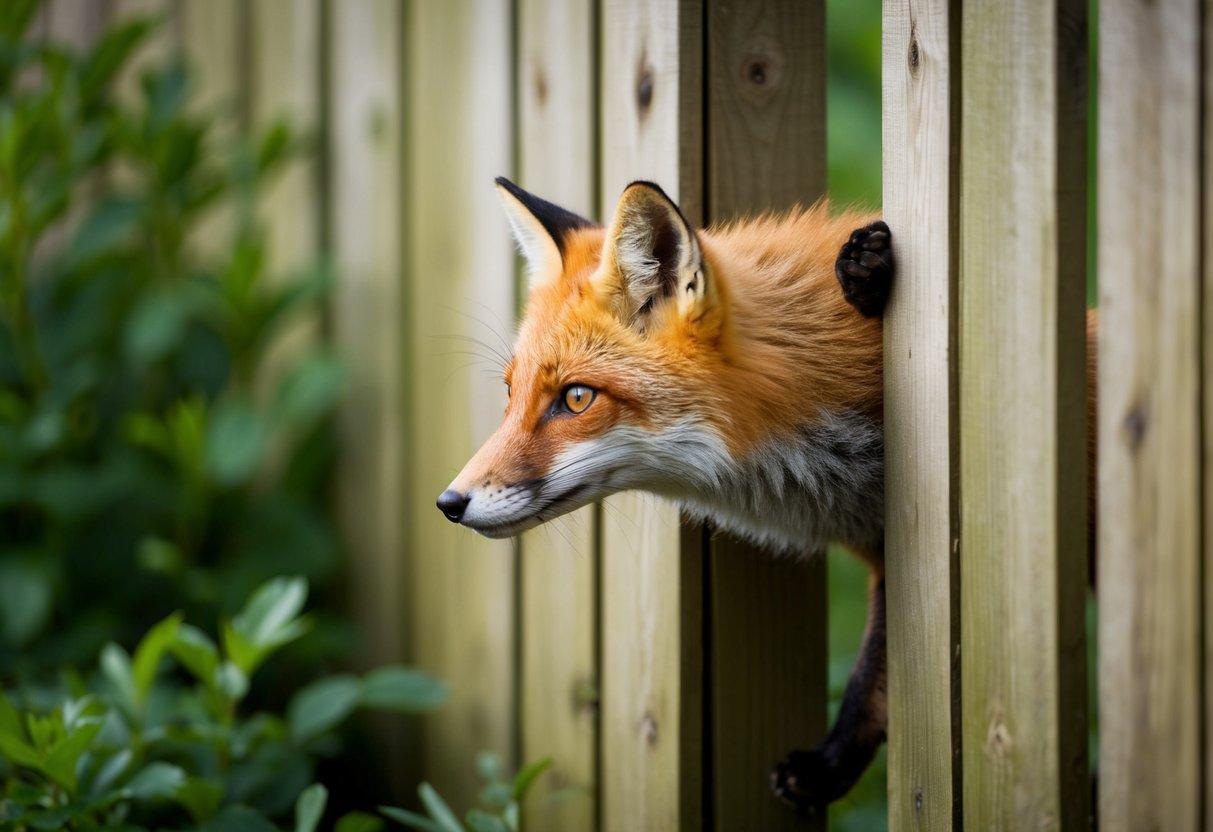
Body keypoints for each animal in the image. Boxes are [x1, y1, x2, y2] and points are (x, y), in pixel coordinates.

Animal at [436, 176, 1098, 812]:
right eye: (511, 393)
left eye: (576, 398)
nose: (449, 503)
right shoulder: (885, 561)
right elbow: (875, 678)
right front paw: (831, 768)